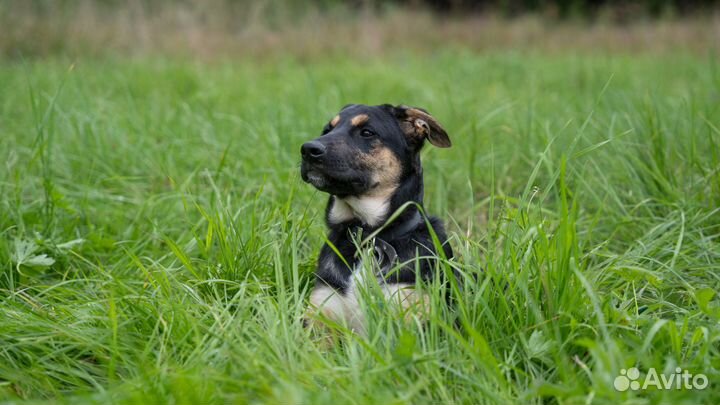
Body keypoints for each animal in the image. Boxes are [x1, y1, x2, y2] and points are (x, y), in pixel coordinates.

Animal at [300, 102, 452, 332]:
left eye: (367, 132)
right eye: (327, 129)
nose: (307, 150)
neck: (366, 235)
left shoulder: (412, 314)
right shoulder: (321, 315)